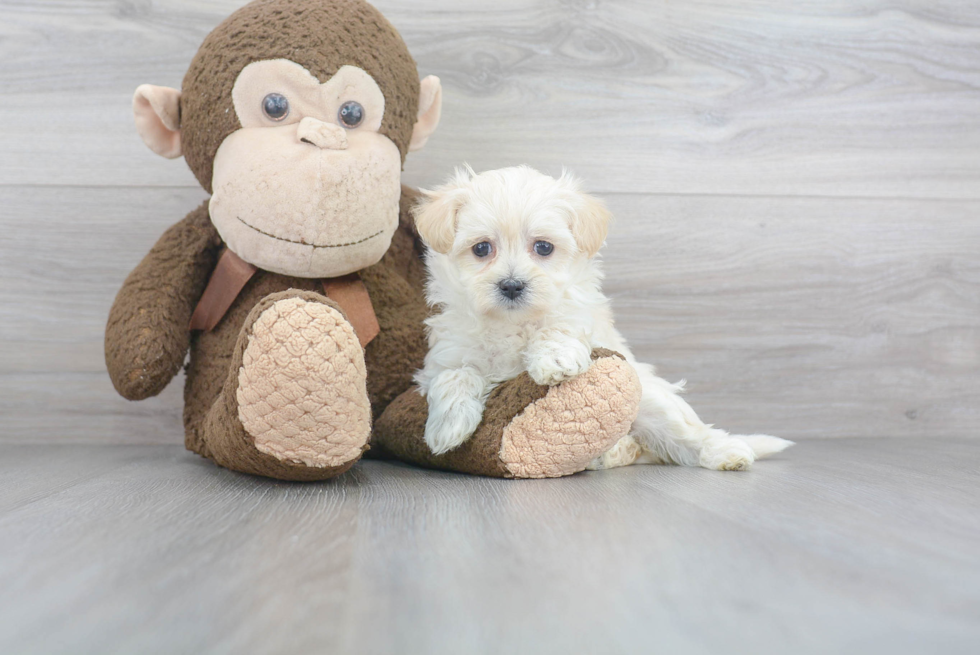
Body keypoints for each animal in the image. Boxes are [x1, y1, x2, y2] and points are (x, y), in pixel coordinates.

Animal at [410, 164, 792, 472]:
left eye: (543, 247)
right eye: (481, 248)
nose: (512, 285)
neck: (513, 322)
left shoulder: (581, 320)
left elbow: (559, 326)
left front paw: (554, 359)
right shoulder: (446, 355)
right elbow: (455, 375)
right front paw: (448, 428)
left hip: (650, 401)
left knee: (687, 434)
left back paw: (724, 452)